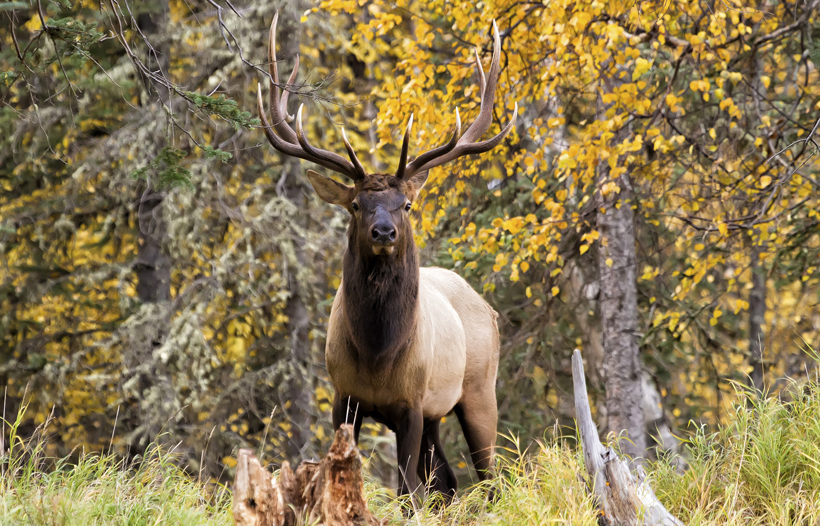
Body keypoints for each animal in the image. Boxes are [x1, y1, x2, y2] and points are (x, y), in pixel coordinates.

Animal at [256, 12, 517, 504]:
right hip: (438, 413)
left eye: (407, 204)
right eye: (357, 204)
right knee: (447, 481)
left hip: (479, 389)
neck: (379, 354)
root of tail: (488, 307)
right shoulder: (344, 397)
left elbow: (407, 491)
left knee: (488, 477)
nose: (384, 232)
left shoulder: (411, 403)